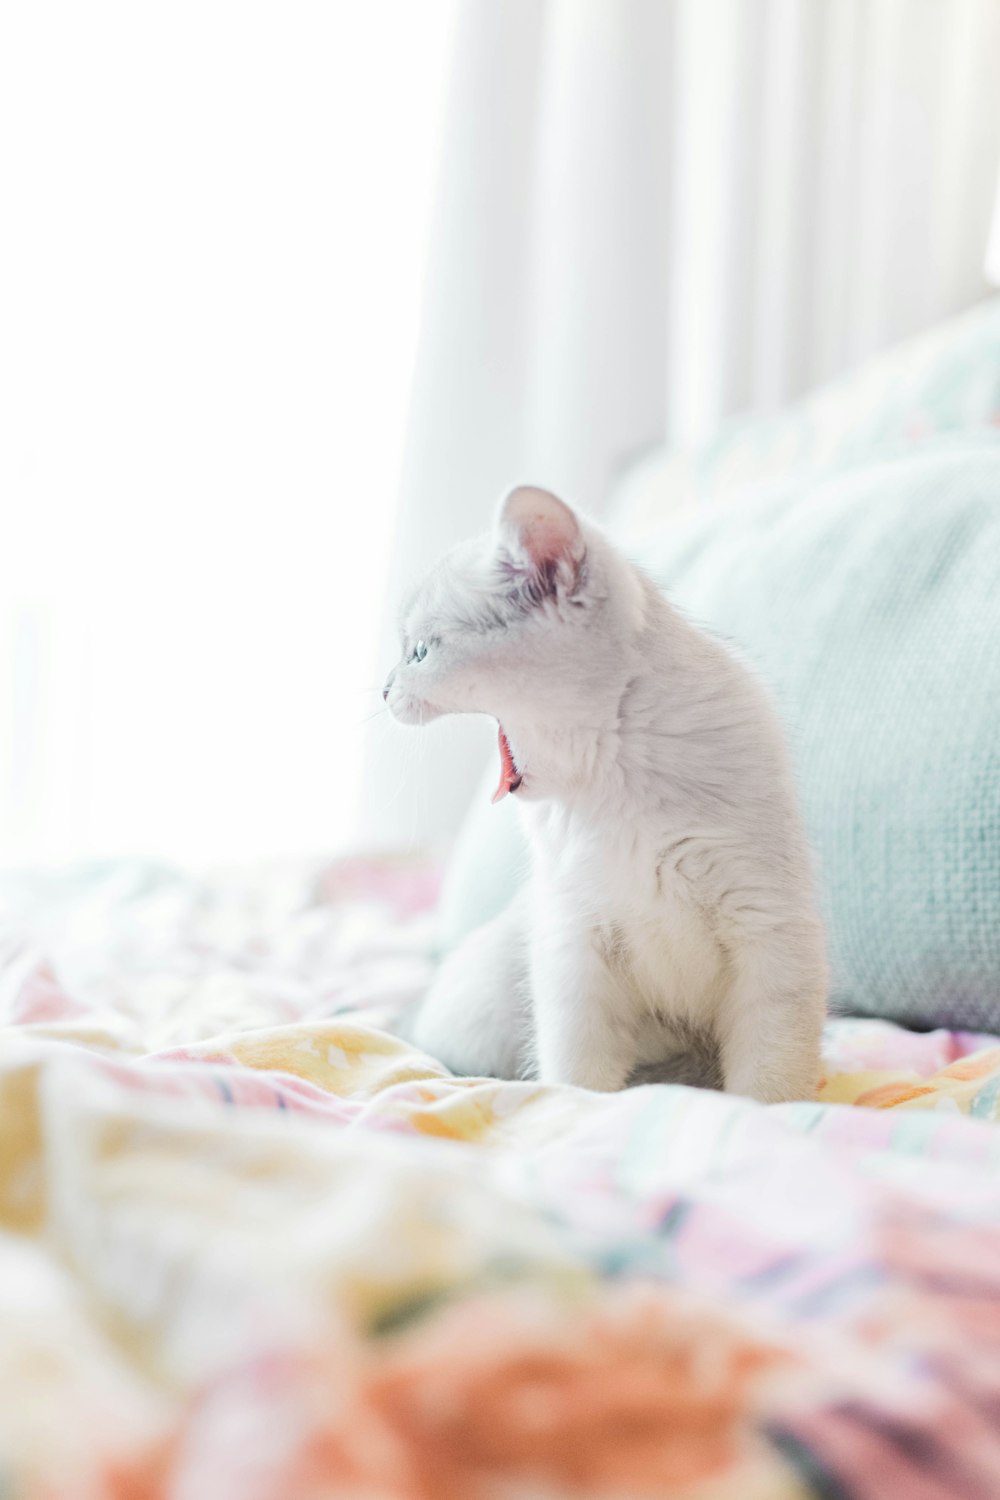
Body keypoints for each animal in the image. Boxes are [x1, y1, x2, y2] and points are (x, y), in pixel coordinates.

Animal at [386, 489, 827, 1104]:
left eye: (421, 652)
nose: (384, 691)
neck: (609, 783)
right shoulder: (574, 943)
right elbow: (579, 1070)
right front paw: (573, 1107)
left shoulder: (770, 929)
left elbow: (770, 1072)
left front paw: (762, 1111)